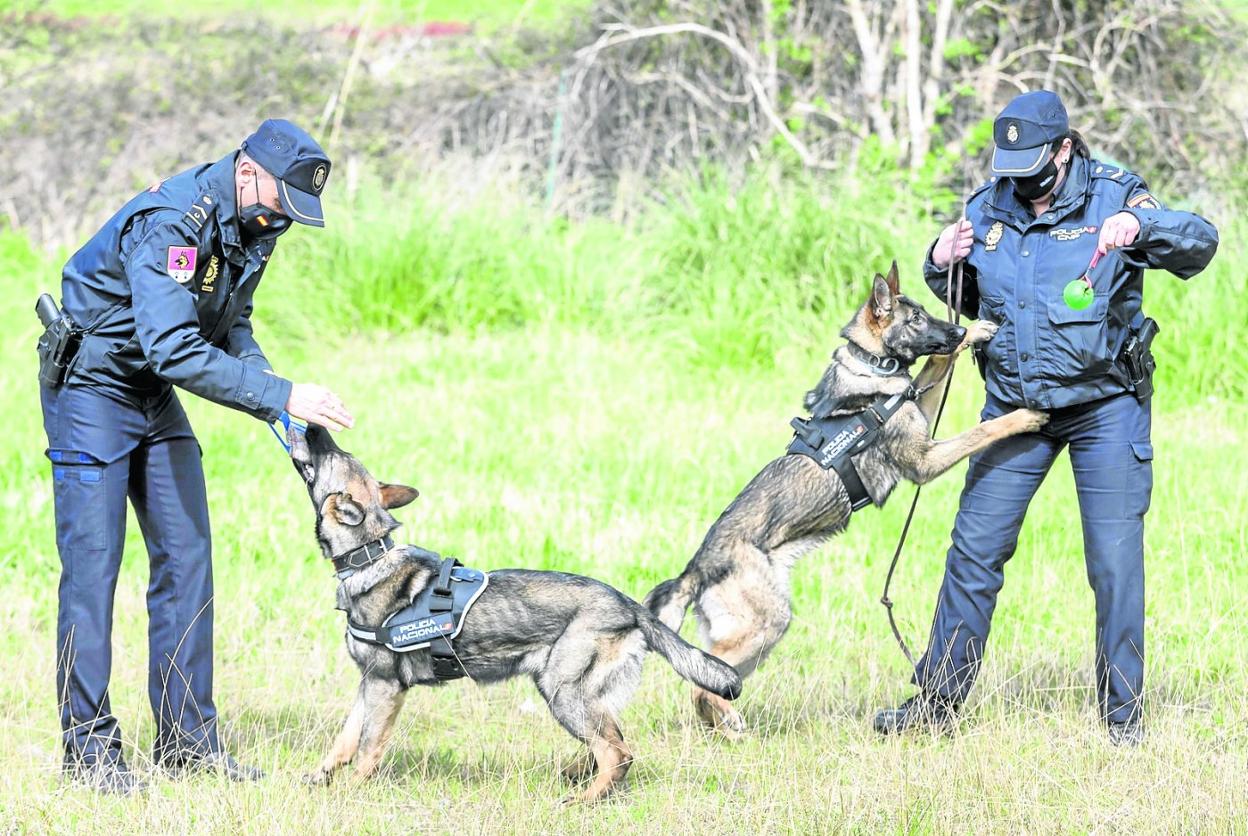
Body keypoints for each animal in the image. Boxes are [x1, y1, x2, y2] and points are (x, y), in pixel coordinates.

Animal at [288, 429, 743, 803]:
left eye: (331, 454)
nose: (315, 428)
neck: (369, 556)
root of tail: (626, 603)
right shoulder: (369, 684)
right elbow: (344, 740)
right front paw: (321, 777)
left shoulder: (385, 686)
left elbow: (367, 748)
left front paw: (351, 791)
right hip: (574, 693)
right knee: (609, 740)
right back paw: (577, 774)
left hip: (563, 692)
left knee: (618, 752)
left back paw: (584, 799)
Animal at [643, 263, 1043, 738]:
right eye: (916, 319)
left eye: (927, 312)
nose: (959, 326)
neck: (873, 367)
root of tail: (694, 570)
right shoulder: (924, 461)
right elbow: (982, 428)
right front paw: (1023, 415)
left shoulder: (919, 407)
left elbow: (935, 364)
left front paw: (976, 334)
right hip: (766, 624)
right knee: (701, 683)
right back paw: (731, 724)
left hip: (761, 632)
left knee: (707, 679)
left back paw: (722, 724)